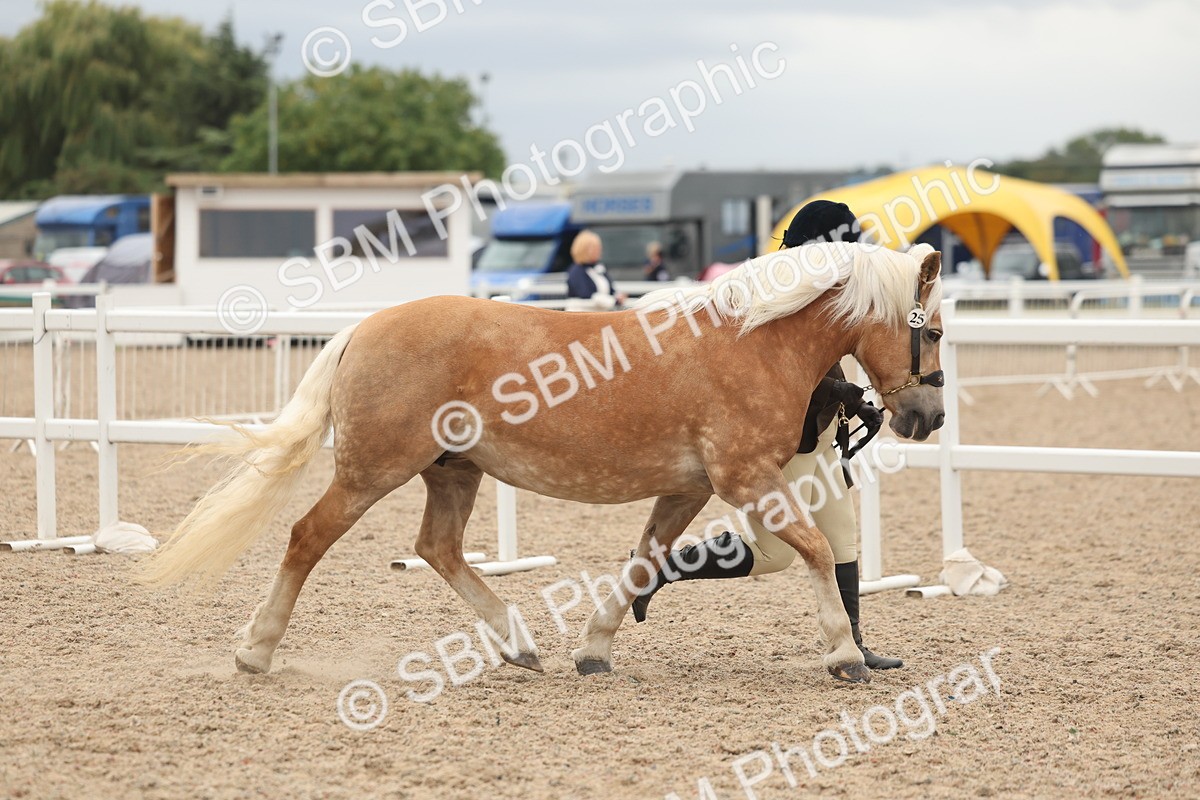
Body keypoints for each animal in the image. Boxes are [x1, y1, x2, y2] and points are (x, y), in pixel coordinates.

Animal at [138, 241, 945, 685]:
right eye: (933, 331)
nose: (928, 418)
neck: (750, 341)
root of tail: (364, 328)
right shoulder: (746, 479)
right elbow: (815, 550)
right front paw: (843, 655)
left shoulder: (688, 490)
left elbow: (644, 562)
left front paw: (594, 648)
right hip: (372, 472)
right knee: (308, 538)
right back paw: (255, 651)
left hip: (453, 471)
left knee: (437, 547)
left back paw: (521, 645)